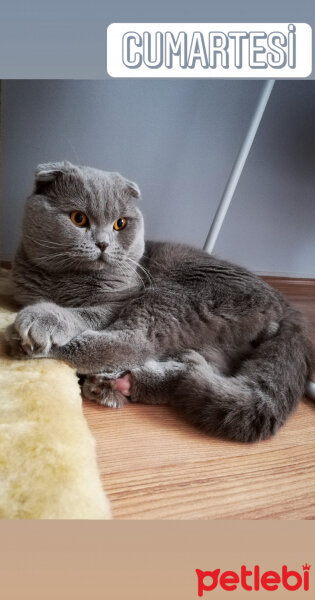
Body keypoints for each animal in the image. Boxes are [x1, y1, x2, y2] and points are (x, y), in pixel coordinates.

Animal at [4, 162, 314, 442]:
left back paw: (25, 342)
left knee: (132, 343)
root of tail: (286, 307)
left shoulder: (120, 300)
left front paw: (44, 319)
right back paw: (118, 383)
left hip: (175, 296)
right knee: (194, 368)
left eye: (120, 224)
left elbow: (82, 315)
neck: (65, 280)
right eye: (78, 218)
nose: (103, 244)